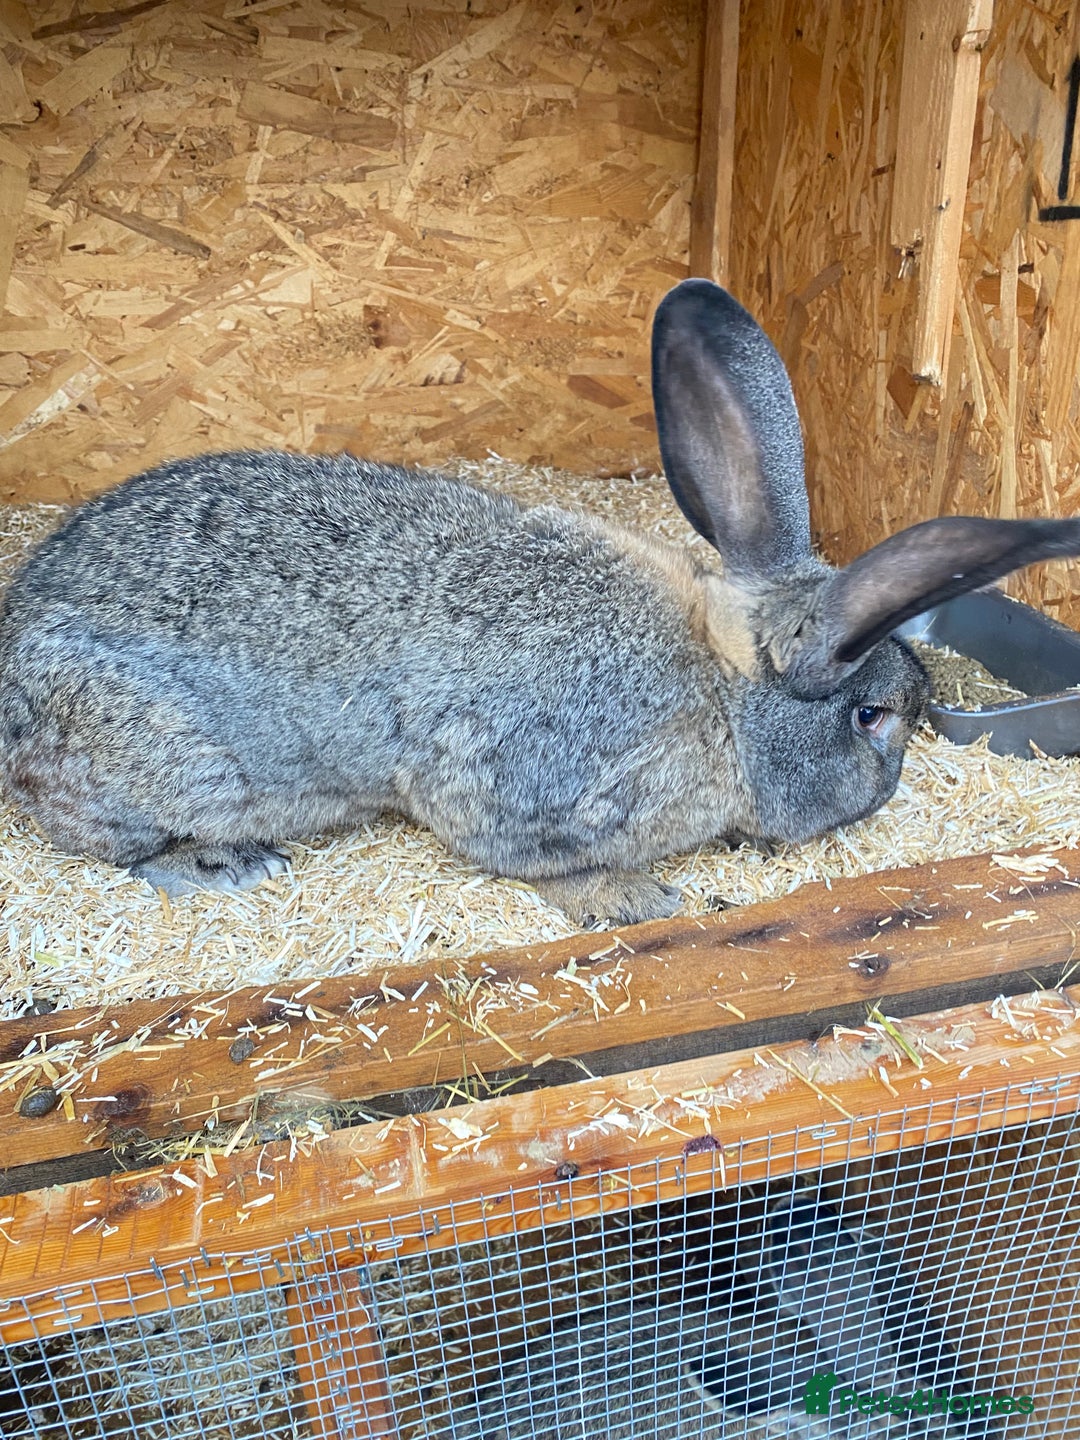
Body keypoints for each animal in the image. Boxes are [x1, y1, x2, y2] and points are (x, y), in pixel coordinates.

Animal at [3, 278, 1080, 925]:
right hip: (148, 760)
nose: (885, 795)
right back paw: (221, 866)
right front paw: (643, 900)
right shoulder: (506, 788)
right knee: (108, 842)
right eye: (872, 718)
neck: (724, 701)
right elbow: (546, 865)